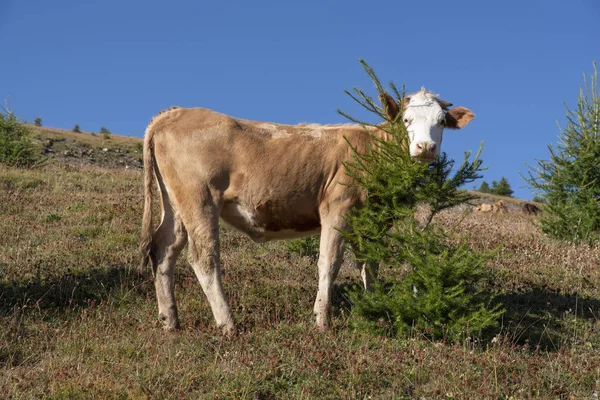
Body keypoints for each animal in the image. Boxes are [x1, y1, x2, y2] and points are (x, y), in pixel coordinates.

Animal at [139, 88, 474, 334]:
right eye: (406, 120)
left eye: (441, 121)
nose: (425, 147)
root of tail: (175, 112)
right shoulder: (338, 207)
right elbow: (330, 262)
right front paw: (322, 321)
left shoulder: (371, 219)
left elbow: (371, 266)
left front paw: (377, 312)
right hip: (200, 197)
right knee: (204, 257)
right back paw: (228, 324)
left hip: (175, 202)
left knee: (164, 248)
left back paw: (170, 321)